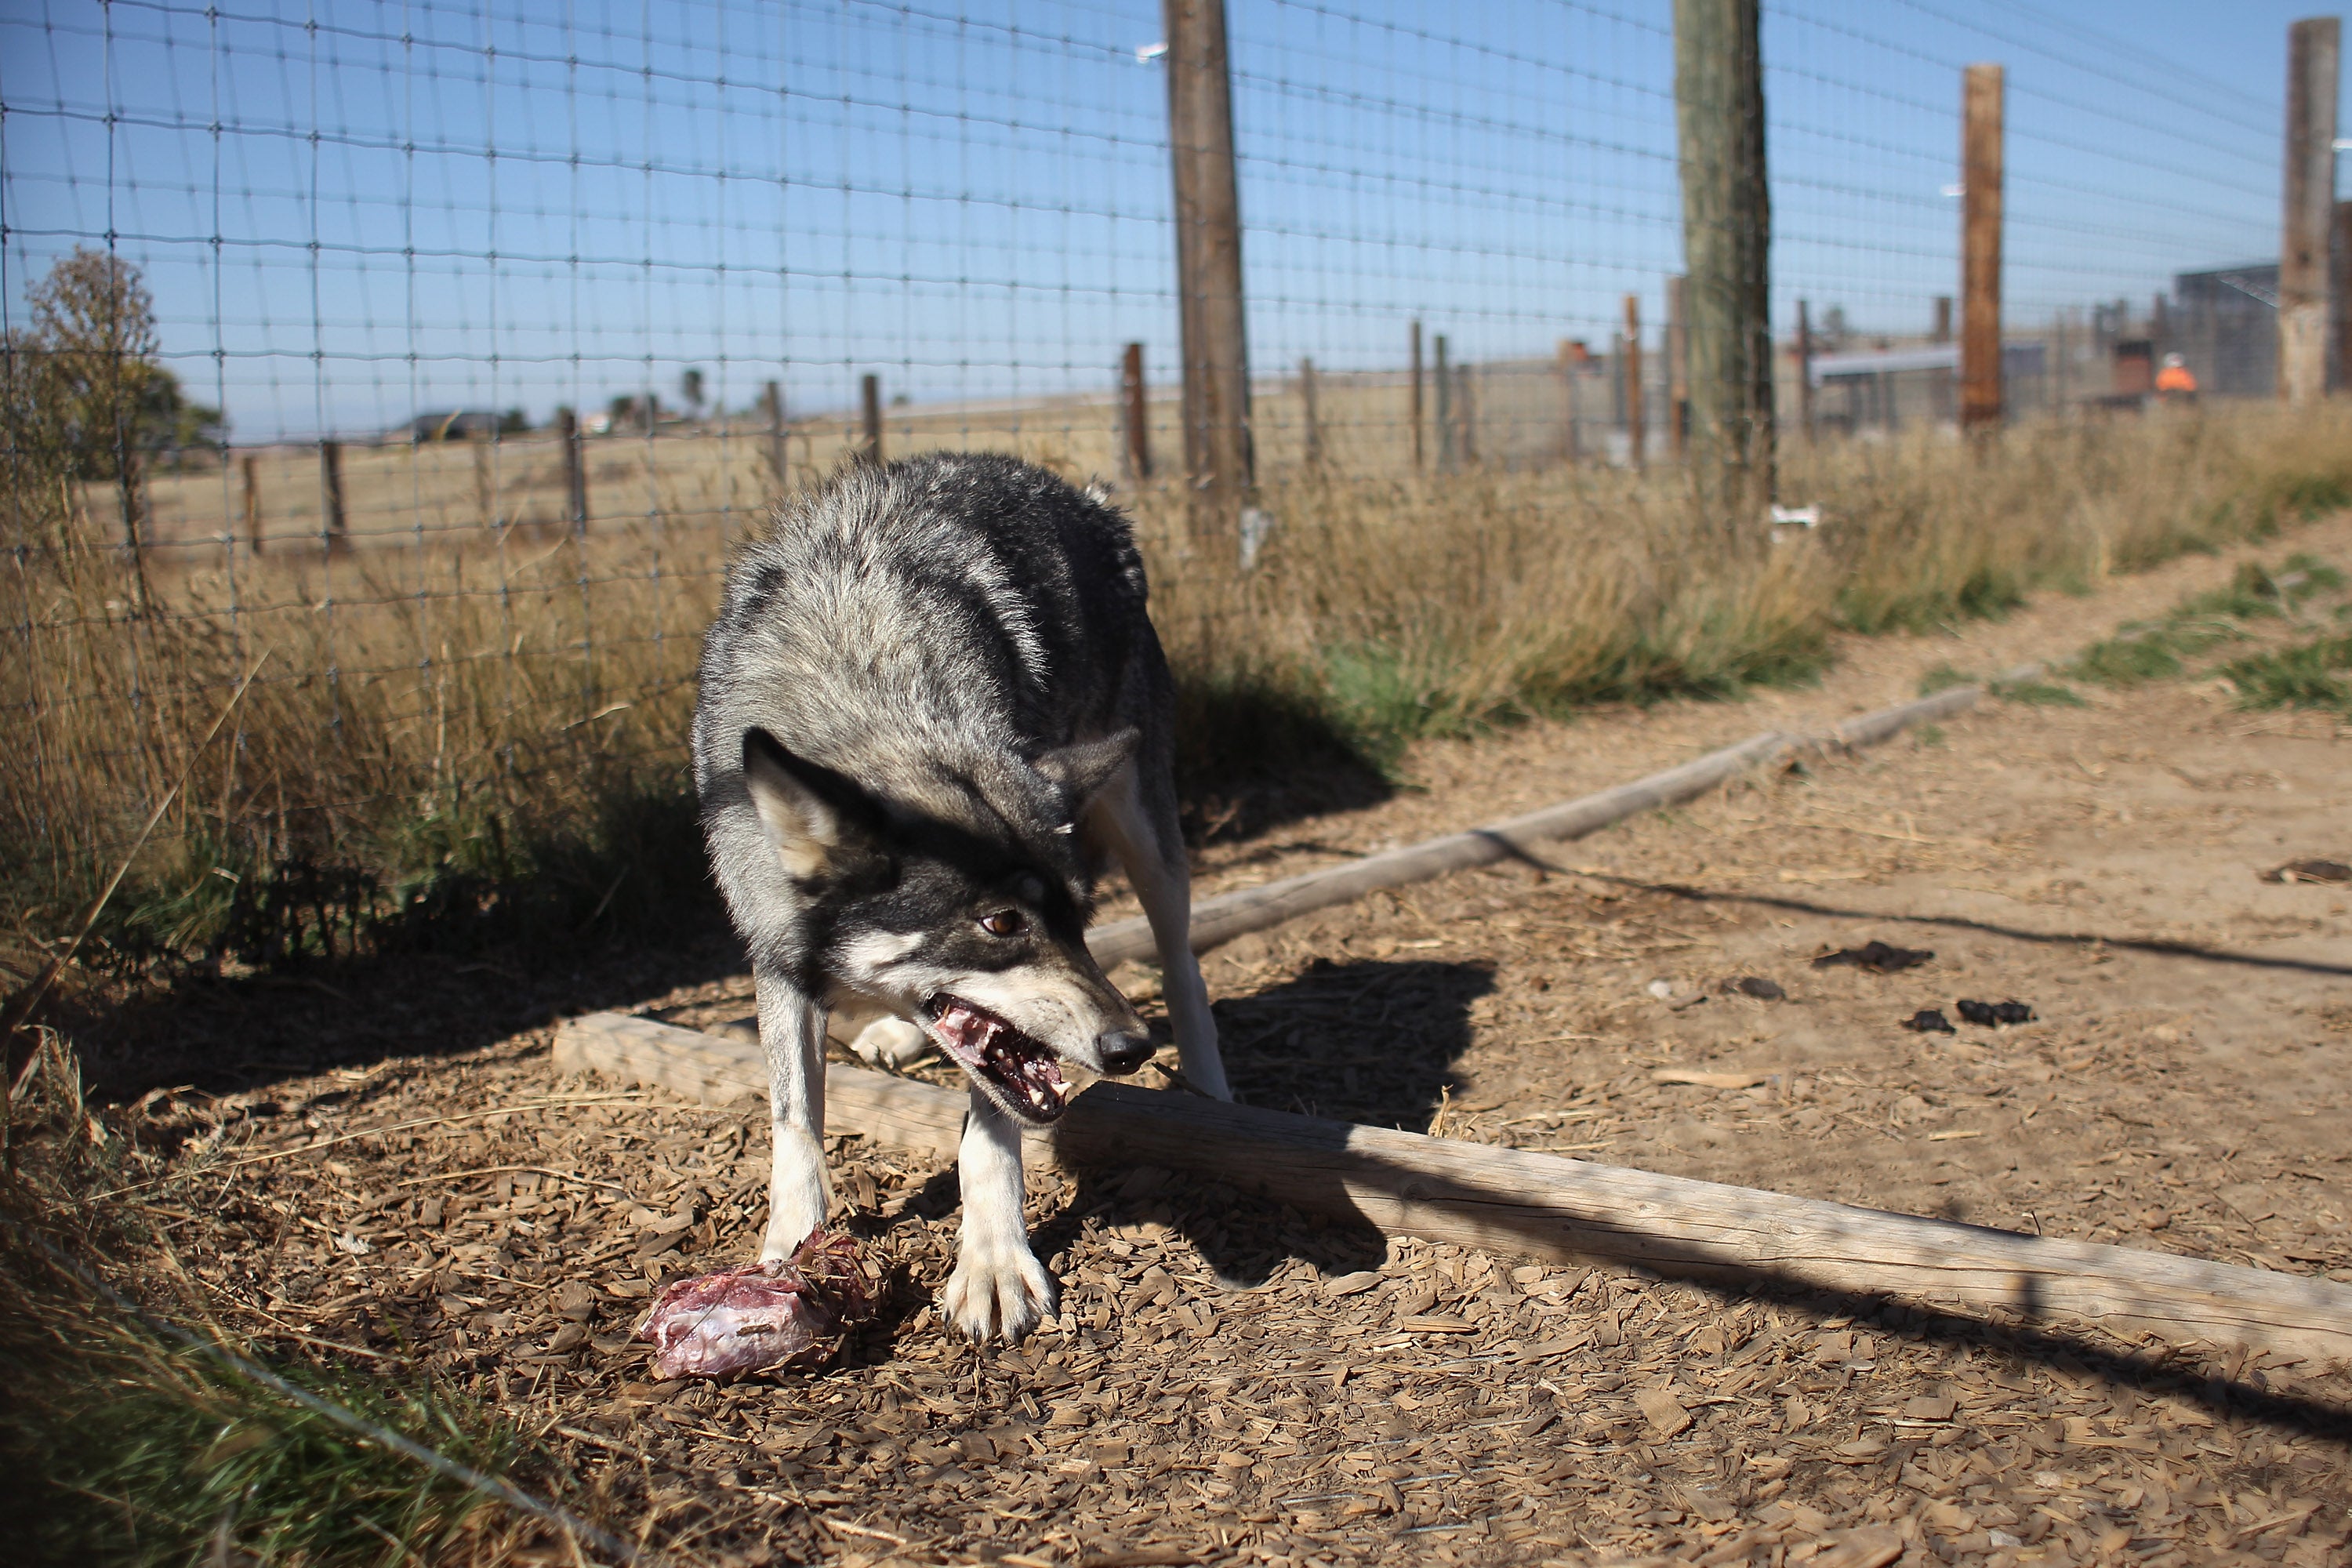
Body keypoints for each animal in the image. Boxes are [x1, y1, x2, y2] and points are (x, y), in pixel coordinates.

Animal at [687, 446, 1232, 1345]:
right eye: (1001, 921)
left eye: (1077, 918)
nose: (1129, 1048)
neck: (862, 676)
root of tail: (1086, 497)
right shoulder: (776, 952)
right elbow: (795, 1121)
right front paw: (790, 1252)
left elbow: (988, 1134)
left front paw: (994, 1263)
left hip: (1149, 835)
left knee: (1182, 961)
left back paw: (1212, 1092)